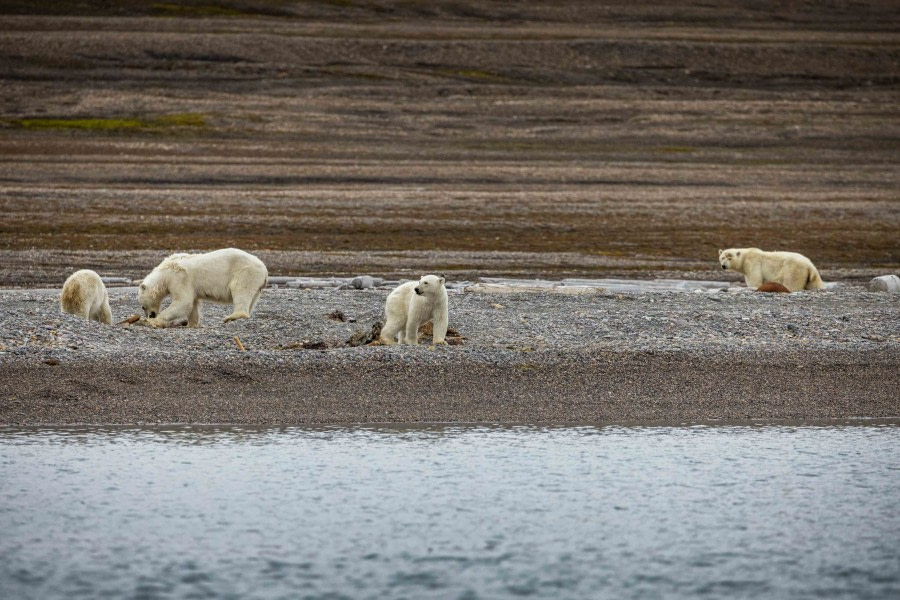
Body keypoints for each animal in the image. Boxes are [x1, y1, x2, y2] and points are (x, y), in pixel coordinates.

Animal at [138, 248, 268, 328]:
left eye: (143, 306)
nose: (150, 315)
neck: (165, 272)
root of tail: (265, 270)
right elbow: (193, 303)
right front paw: (191, 324)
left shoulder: (179, 278)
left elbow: (183, 301)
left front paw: (154, 321)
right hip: (256, 282)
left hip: (246, 272)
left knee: (240, 289)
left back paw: (232, 316)